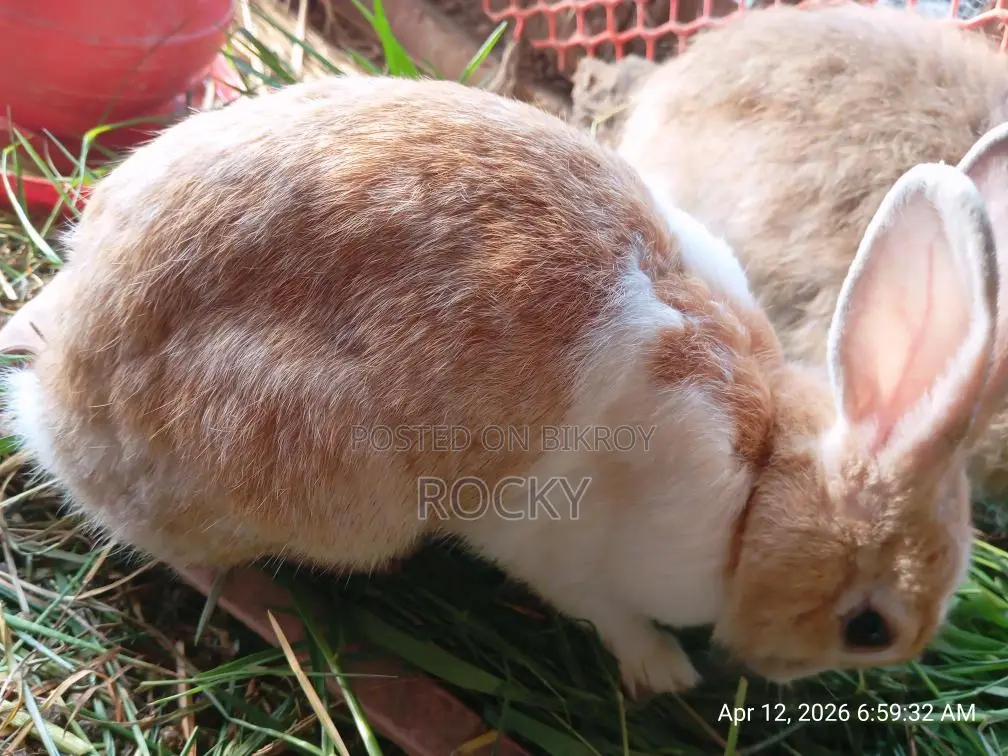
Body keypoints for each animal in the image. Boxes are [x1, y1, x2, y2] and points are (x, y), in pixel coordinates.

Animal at [2, 73, 1007, 697]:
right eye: (868, 628)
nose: (775, 676)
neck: (758, 487)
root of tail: (59, 379)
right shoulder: (570, 551)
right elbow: (606, 609)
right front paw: (662, 671)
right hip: (342, 504)